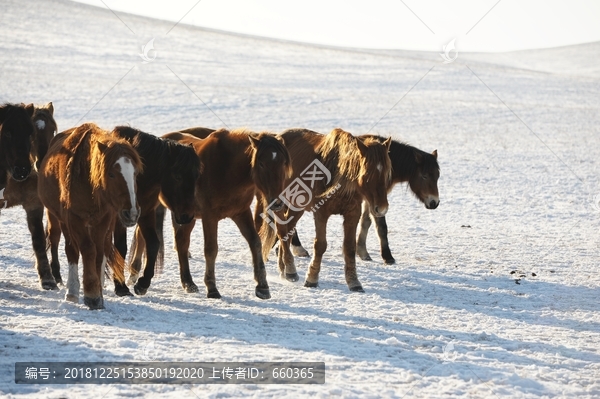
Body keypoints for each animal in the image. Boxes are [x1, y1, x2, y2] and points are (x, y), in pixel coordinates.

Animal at [0, 103, 58, 290]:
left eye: (53, 129)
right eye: (7, 132)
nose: (22, 169)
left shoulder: (34, 204)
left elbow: (39, 240)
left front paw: (47, 278)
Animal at [39, 123, 143, 310]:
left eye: (135, 173)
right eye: (111, 174)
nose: (131, 213)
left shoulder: (103, 220)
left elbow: (99, 251)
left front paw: (98, 291)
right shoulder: (74, 220)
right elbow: (88, 249)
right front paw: (92, 294)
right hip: (60, 219)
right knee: (70, 249)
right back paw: (72, 291)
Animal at [130, 128, 292, 300]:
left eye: (283, 163)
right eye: (261, 163)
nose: (277, 202)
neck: (227, 168)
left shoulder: (240, 213)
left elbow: (255, 242)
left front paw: (262, 286)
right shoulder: (209, 217)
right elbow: (211, 249)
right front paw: (212, 287)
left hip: (186, 215)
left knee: (181, 242)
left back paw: (188, 282)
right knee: (142, 236)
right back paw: (135, 275)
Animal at [258, 130, 392, 292]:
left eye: (387, 174)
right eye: (367, 174)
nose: (382, 208)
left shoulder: (352, 214)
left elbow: (349, 247)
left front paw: (354, 282)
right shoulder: (321, 213)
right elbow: (320, 245)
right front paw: (312, 279)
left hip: (297, 207)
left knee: (288, 230)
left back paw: (283, 267)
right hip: (280, 203)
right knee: (282, 230)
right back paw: (290, 270)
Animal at [284, 137, 438, 266]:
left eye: (437, 176)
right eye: (424, 176)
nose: (434, 203)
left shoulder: (371, 200)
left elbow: (366, 222)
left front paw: (362, 251)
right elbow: (381, 226)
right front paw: (387, 256)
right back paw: (297, 247)